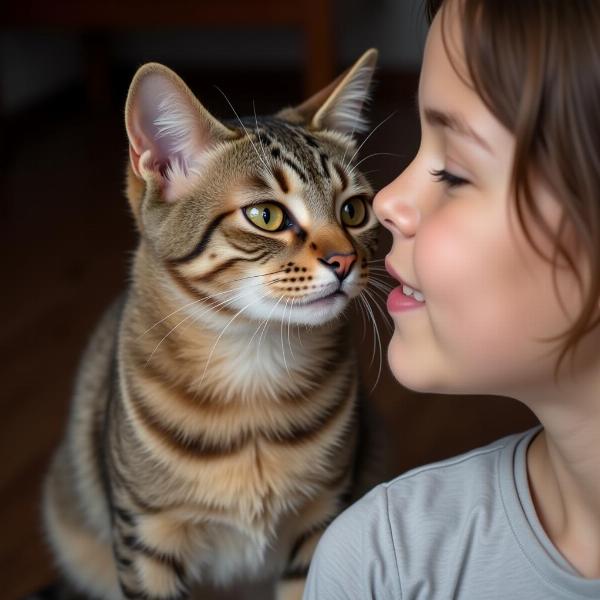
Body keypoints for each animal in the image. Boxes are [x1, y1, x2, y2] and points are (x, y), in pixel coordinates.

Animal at [42, 48, 380, 600]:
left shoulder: (323, 521)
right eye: (266, 215)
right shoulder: (147, 535)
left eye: (354, 210)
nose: (345, 261)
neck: (253, 370)